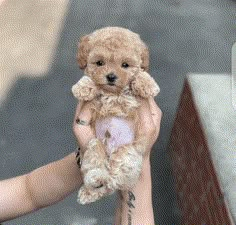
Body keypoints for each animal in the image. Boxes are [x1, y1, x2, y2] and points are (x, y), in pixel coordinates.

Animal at [72, 26, 160, 204]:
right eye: (100, 63)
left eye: (125, 65)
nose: (111, 76)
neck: (113, 93)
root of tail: (110, 150)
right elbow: (90, 80)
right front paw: (82, 87)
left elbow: (140, 74)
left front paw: (147, 84)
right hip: (94, 145)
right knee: (99, 169)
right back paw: (94, 184)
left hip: (127, 154)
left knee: (114, 180)